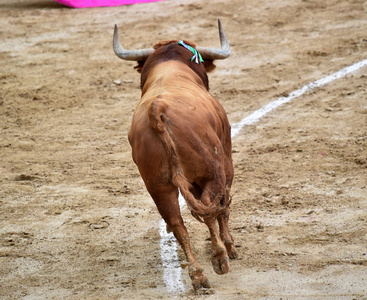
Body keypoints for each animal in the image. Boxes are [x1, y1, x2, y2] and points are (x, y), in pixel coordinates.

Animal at [113, 19, 239, 290]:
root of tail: (157, 108)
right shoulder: (226, 156)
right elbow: (222, 207)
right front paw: (230, 246)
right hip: (213, 171)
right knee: (212, 208)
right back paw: (220, 258)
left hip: (158, 187)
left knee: (177, 224)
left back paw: (198, 275)